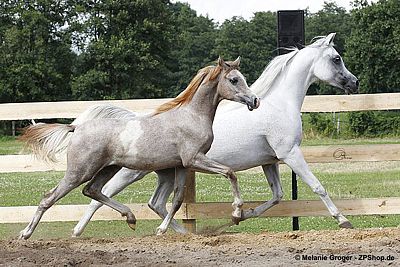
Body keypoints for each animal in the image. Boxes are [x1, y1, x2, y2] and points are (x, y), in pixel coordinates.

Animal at [69, 32, 360, 236]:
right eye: (336, 58)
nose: (354, 82)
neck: (279, 104)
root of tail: (131, 121)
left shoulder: (270, 161)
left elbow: (277, 196)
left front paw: (239, 215)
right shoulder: (290, 153)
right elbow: (318, 187)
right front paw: (344, 221)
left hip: (164, 171)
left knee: (156, 204)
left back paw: (180, 232)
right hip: (131, 172)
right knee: (100, 195)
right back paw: (79, 231)